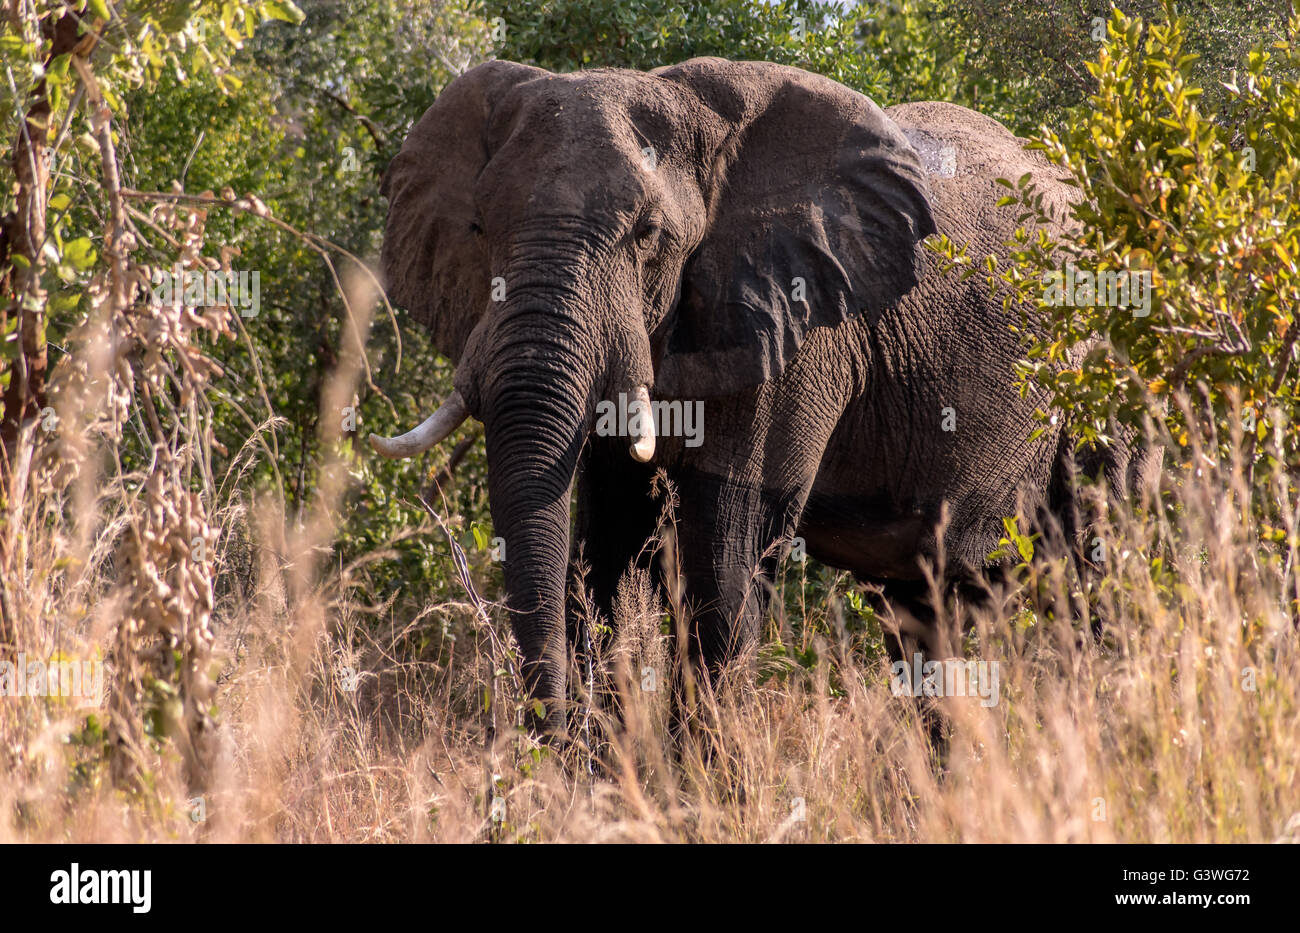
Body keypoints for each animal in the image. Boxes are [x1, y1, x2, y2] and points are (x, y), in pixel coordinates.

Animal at [371, 58, 1154, 743]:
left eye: (647, 236)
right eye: (479, 229)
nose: (547, 741)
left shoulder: (797, 330)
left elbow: (724, 561)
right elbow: (604, 551)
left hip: (1109, 378)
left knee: (1096, 579)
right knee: (924, 613)